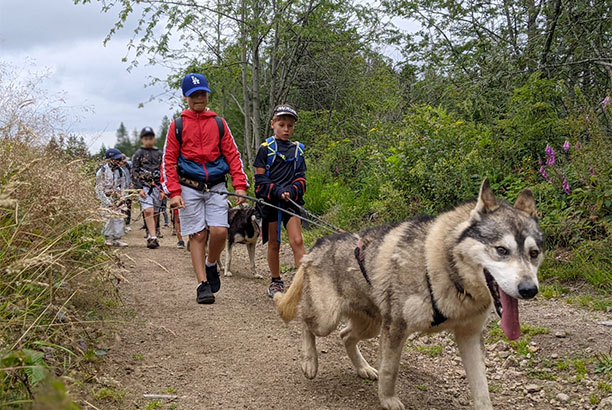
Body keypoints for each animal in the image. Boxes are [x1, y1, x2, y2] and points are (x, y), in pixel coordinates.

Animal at [274, 180, 544, 410]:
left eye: (534, 253)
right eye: (502, 250)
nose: (529, 290)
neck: (443, 269)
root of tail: (318, 244)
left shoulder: (469, 336)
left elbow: (482, 391)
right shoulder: (396, 327)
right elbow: (389, 370)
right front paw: (388, 400)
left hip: (370, 325)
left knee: (346, 335)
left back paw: (363, 368)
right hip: (326, 319)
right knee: (305, 322)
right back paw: (310, 361)